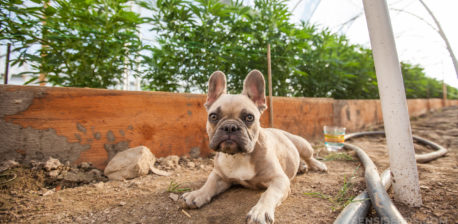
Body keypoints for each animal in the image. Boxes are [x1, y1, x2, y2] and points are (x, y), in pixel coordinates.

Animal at [181, 70, 328, 224]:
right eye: (213, 116)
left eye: (249, 117)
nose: (230, 126)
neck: (238, 156)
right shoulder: (219, 176)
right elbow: (209, 184)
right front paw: (196, 194)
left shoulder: (279, 180)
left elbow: (268, 194)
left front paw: (260, 211)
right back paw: (301, 167)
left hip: (302, 144)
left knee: (309, 157)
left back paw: (318, 165)